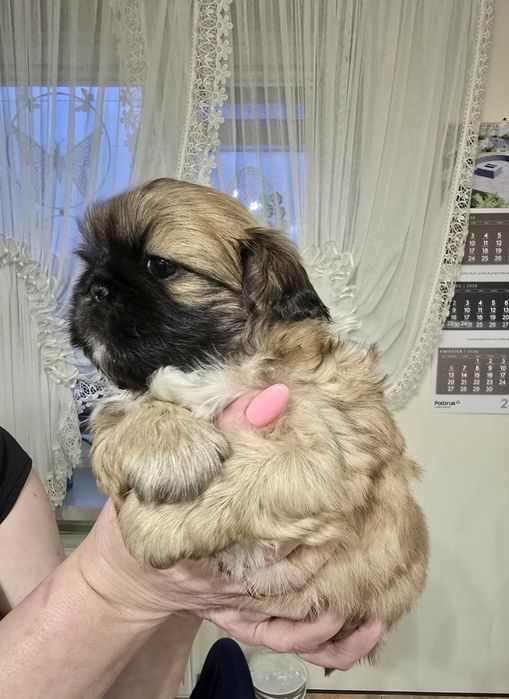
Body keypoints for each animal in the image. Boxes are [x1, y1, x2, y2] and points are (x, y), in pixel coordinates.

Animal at [70, 178, 428, 652]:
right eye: (89, 261)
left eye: (159, 265)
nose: (93, 287)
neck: (215, 362)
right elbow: (123, 412)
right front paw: (171, 447)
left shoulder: (327, 453)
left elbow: (249, 472)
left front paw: (154, 526)